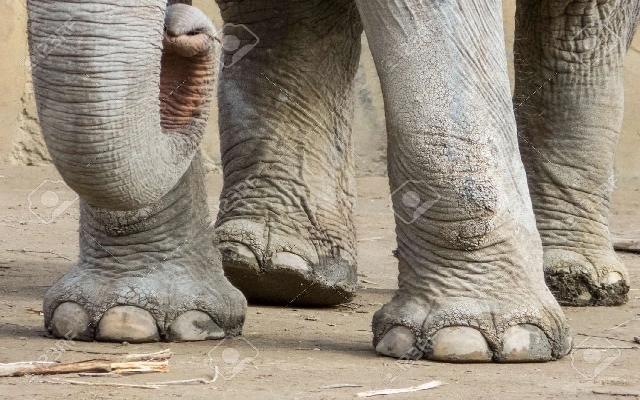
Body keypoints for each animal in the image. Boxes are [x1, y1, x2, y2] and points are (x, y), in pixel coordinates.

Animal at [25, 0, 640, 363]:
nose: (184, 29)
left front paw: (474, 343)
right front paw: (123, 323)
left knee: (582, 29)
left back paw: (577, 285)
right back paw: (272, 272)